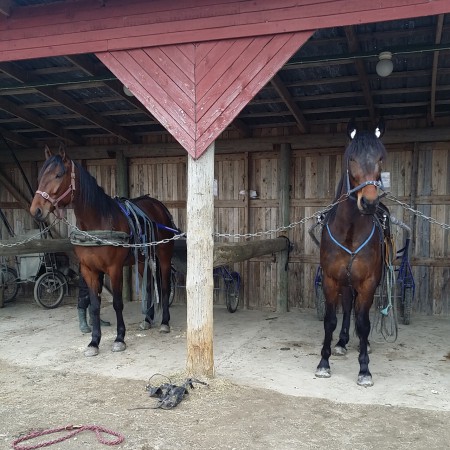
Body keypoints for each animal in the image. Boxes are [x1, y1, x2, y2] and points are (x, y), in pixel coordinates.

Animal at [30, 145, 179, 357]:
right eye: (40, 175)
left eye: (59, 175)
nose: (36, 210)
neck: (98, 221)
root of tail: (159, 206)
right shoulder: (89, 270)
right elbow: (94, 306)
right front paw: (94, 342)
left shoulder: (114, 269)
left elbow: (117, 303)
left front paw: (119, 338)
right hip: (142, 260)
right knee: (149, 287)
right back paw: (147, 320)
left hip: (164, 257)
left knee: (165, 287)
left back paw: (165, 322)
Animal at [315, 120, 388, 387]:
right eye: (352, 159)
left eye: (380, 158)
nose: (369, 203)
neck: (350, 231)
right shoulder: (331, 280)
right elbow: (330, 321)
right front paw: (324, 363)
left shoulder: (368, 282)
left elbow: (364, 323)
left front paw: (364, 369)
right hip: (345, 282)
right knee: (347, 308)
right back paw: (342, 341)